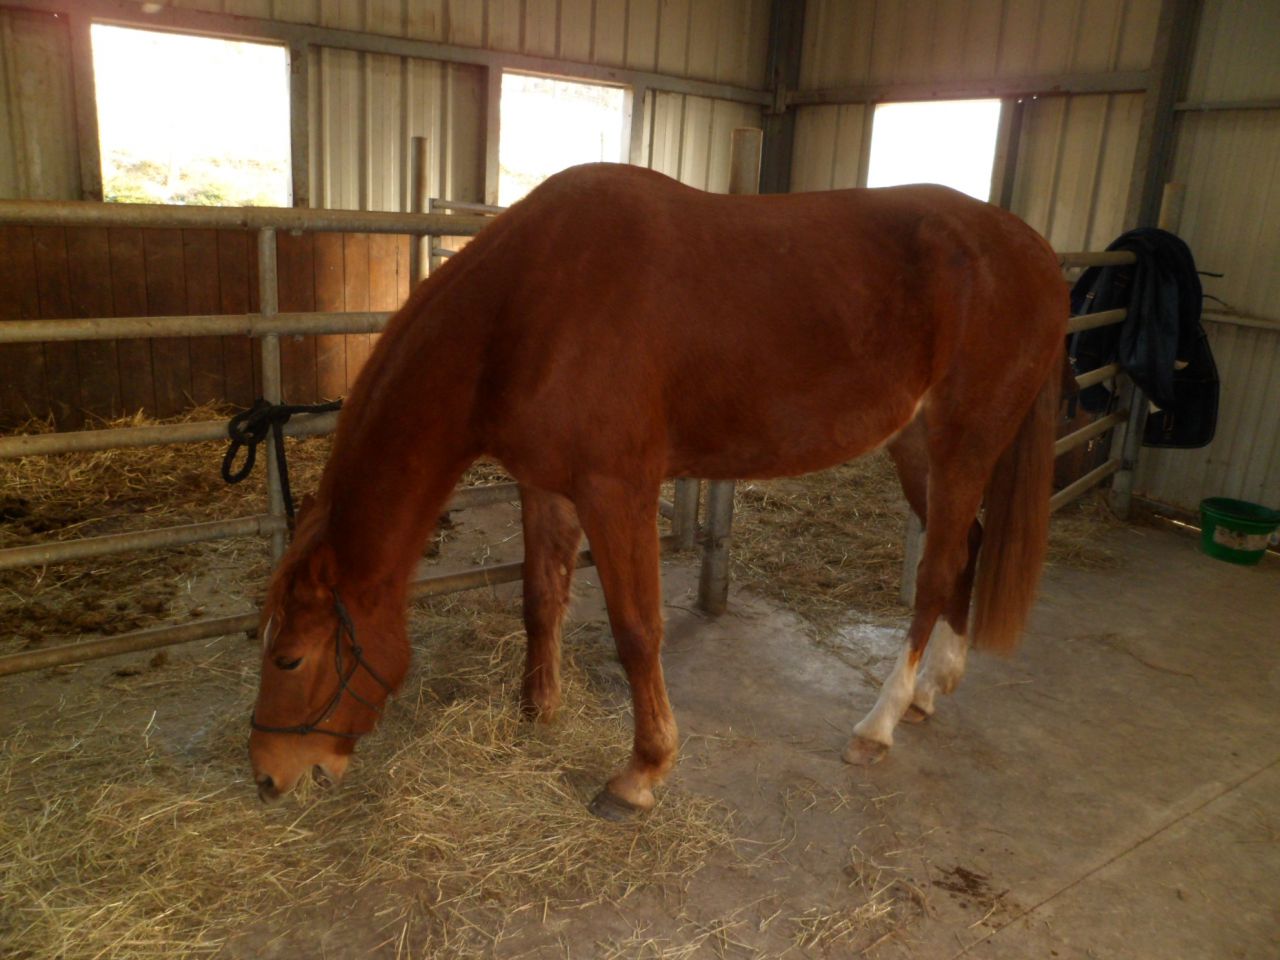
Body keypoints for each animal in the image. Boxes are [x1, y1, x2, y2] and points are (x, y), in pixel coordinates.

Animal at [248, 163, 1066, 818]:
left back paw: (879, 724)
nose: (265, 777)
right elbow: (539, 596)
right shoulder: (544, 486)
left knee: (933, 576)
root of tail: (1034, 251)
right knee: (965, 553)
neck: (528, 307)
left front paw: (642, 771)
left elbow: (637, 630)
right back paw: (931, 690)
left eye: (288, 658)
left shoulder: (619, 492)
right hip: (918, 448)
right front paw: (537, 707)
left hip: (964, 445)